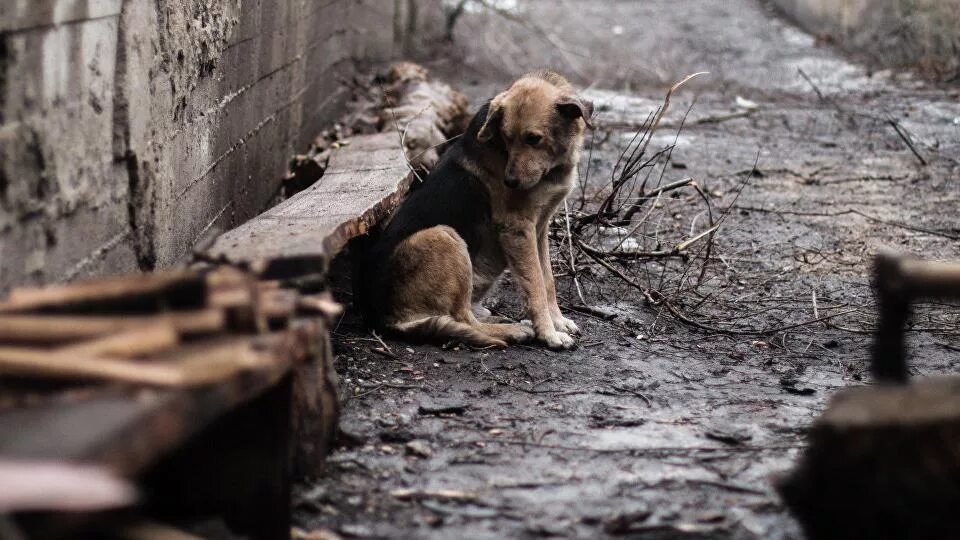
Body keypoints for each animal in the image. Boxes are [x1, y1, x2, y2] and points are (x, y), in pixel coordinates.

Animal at [360, 70, 592, 350]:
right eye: (507, 137)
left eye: (533, 139)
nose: (510, 182)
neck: (554, 166)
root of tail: (383, 318)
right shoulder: (518, 228)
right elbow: (535, 285)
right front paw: (548, 333)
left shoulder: (539, 228)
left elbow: (547, 281)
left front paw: (557, 322)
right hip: (443, 235)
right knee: (463, 318)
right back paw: (511, 330)